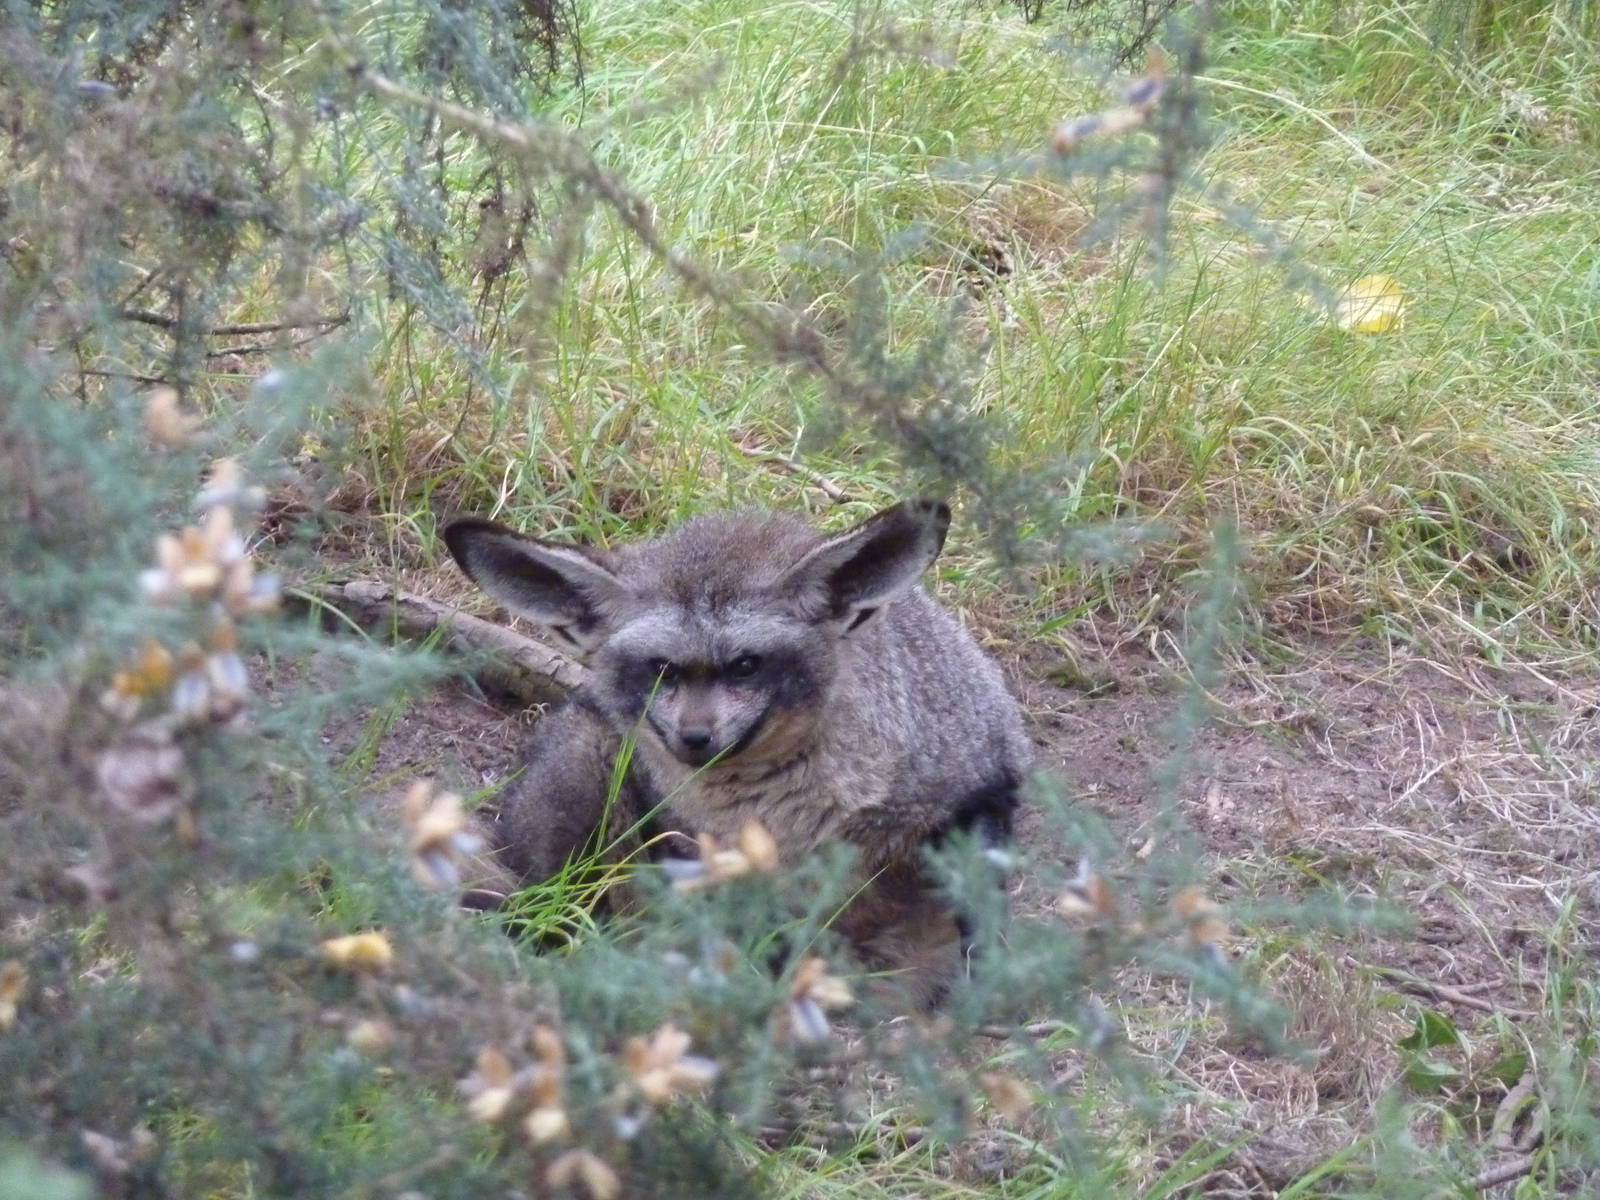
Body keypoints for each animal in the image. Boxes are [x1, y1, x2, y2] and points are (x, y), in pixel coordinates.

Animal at [444, 499, 1032, 1003]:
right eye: (663, 669)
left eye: (746, 666)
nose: (694, 738)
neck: (778, 810)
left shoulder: (980, 791)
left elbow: (973, 922)